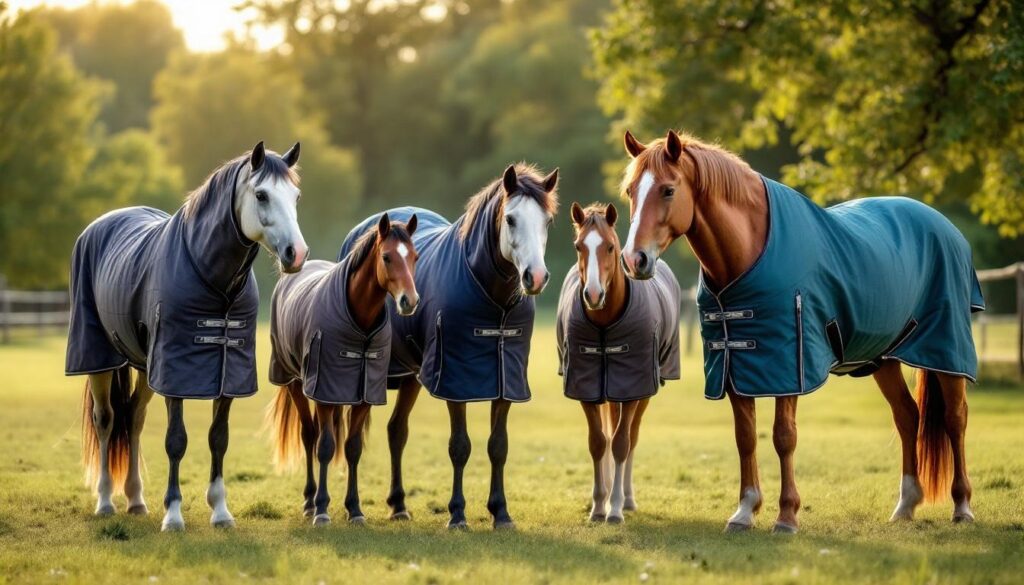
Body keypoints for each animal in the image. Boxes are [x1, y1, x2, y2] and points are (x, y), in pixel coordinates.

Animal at [65, 142, 307, 532]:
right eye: (261, 194)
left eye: (296, 196)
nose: (296, 254)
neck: (212, 277)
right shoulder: (175, 374)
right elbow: (176, 441)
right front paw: (174, 514)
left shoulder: (227, 373)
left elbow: (218, 439)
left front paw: (221, 511)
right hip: (98, 358)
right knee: (106, 420)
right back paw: (104, 501)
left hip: (146, 367)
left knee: (133, 419)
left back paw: (136, 500)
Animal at [267, 214, 420, 526]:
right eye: (386, 257)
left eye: (415, 257)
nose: (409, 301)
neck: (359, 322)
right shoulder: (325, 392)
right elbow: (325, 446)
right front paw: (322, 510)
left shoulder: (362, 395)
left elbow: (352, 448)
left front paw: (355, 509)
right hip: (296, 384)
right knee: (309, 435)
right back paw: (310, 501)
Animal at [338, 164, 559, 529]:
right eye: (510, 219)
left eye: (548, 220)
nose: (535, 277)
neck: (490, 294)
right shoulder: (456, 378)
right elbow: (460, 446)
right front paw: (457, 514)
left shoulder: (505, 379)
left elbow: (498, 446)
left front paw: (501, 512)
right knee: (353, 437)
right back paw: (351, 508)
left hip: (411, 376)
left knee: (396, 431)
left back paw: (399, 505)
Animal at [556, 202, 681, 524]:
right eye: (578, 246)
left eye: (610, 247)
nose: (593, 294)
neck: (605, 321)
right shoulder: (586, 388)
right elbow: (599, 442)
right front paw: (598, 506)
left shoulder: (632, 389)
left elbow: (622, 443)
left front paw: (614, 509)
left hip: (640, 391)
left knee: (630, 438)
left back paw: (626, 499)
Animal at [617, 130, 984, 533]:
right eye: (630, 191)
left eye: (668, 190)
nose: (633, 260)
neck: (748, 251)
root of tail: (945, 228)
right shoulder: (736, 363)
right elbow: (746, 437)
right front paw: (744, 511)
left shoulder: (789, 366)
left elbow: (783, 436)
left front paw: (787, 514)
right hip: (883, 358)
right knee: (907, 416)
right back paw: (905, 505)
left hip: (945, 348)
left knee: (955, 418)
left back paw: (962, 506)